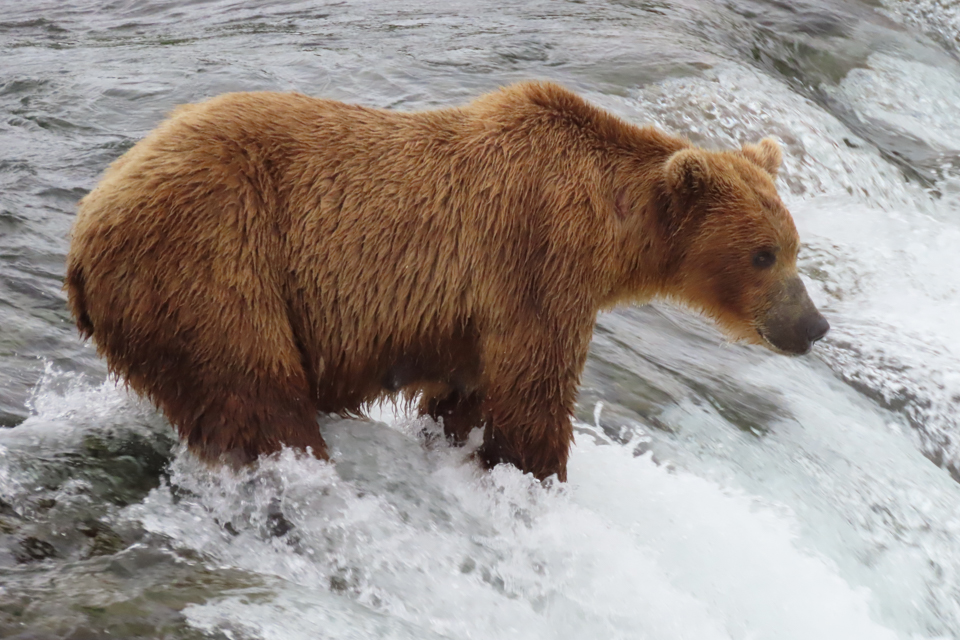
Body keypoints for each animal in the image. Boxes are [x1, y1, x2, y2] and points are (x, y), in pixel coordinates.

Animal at [65, 81, 829, 481]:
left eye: (796, 248)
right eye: (764, 255)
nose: (814, 326)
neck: (611, 230)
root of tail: (87, 223)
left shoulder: (476, 311)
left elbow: (468, 392)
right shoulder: (537, 262)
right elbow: (534, 394)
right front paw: (535, 474)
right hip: (210, 256)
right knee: (251, 391)